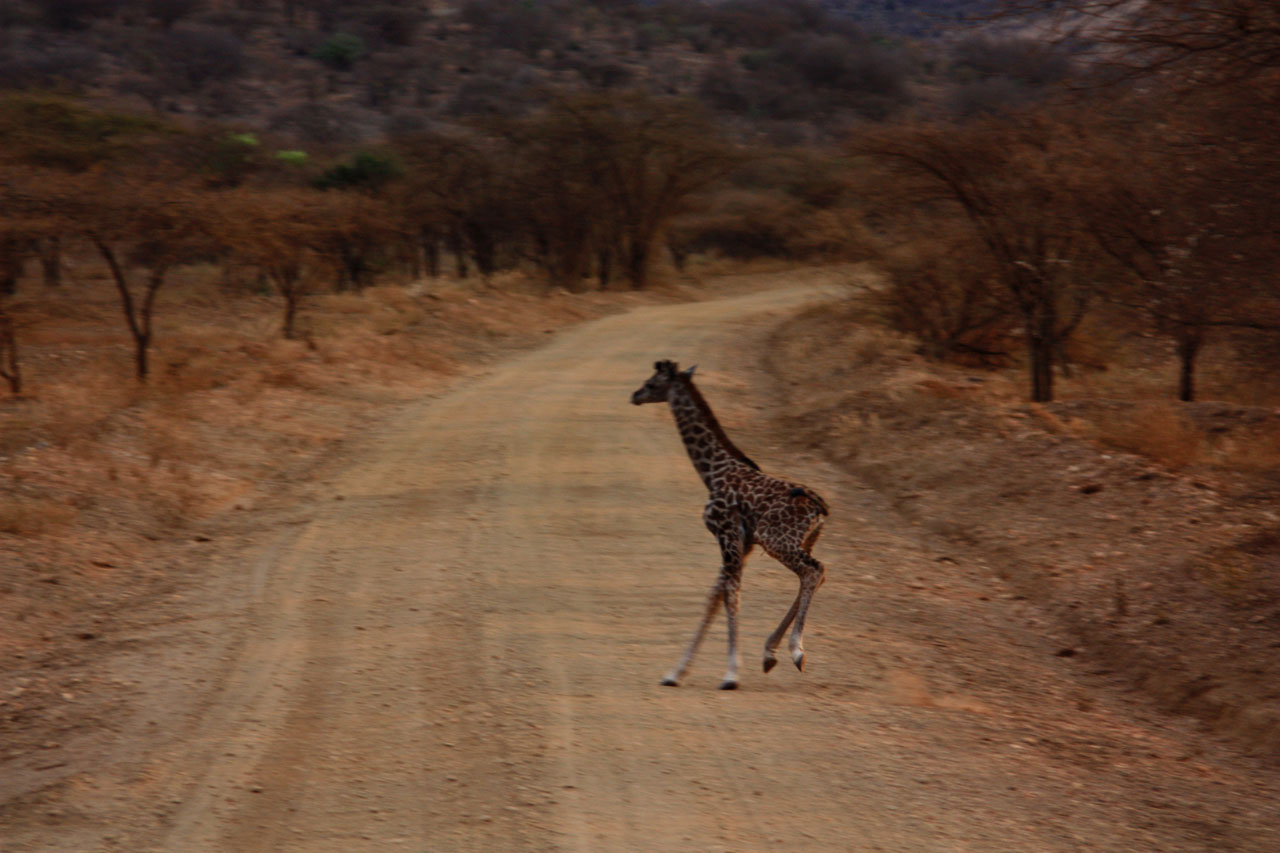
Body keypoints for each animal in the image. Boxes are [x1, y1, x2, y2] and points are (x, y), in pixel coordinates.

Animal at [629, 356, 829, 686]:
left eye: (651, 382)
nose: (634, 395)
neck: (711, 472)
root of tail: (819, 509)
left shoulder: (726, 534)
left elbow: (730, 596)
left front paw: (731, 673)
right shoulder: (742, 544)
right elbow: (715, 595)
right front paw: (675, 672)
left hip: (776, 540)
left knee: (814, 571)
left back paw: (796, 651)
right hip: (802, 541)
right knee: (813, 575)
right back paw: (770, 652)